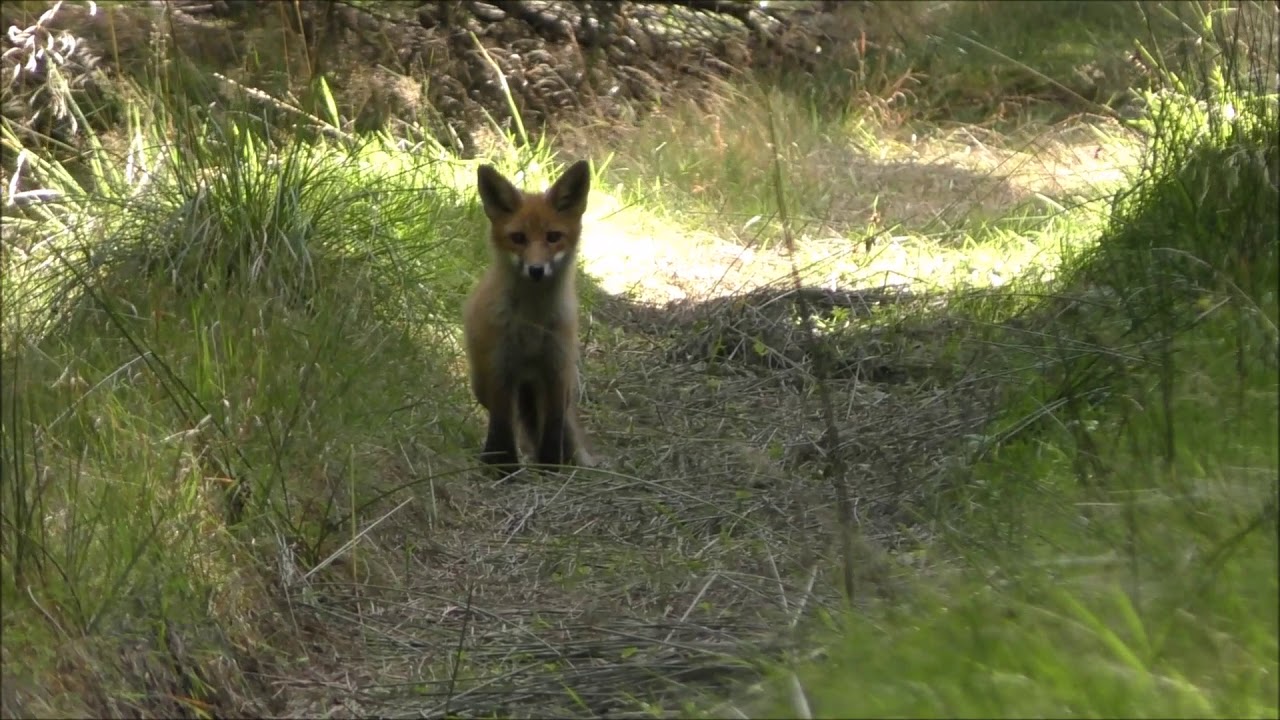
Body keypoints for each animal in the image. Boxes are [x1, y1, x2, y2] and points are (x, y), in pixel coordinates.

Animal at [465, 159, 593, 474]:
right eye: (518, 238)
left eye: (553, 237)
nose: (536, 270)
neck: (533, 324)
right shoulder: (500, 368)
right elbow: (502, 427)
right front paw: (502, 467)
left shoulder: (557, 368)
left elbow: (553, 428)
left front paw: (550, 467)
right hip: (483, 382)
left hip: (557, 385)